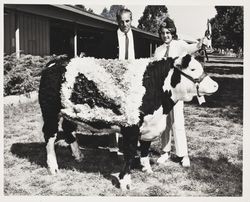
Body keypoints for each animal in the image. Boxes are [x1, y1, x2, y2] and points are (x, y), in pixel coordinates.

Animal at [38, 54, 218, 190]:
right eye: (193, 69)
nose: (215, 85)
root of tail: (55, 62)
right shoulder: (130, 126)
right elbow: (130, 153)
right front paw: (125, 182)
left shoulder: (149, 126)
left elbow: (145, 148)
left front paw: (147, 168)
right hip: (50, 111)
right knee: (50, 135)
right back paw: (53, 166)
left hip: (69, 112)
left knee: (69, 130)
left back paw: (78, 155)